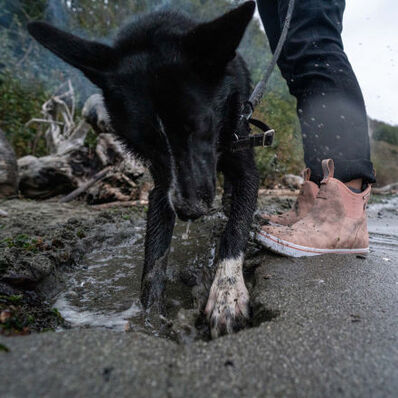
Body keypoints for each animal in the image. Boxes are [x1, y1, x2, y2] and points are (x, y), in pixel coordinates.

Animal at [28, 0, 258, 338]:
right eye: (145, 142)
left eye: (199, 125)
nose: (189, 211)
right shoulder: (163, 187)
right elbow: (153, 261)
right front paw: (148, 319)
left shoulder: (241, 162)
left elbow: (235, 230)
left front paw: (226, 294)